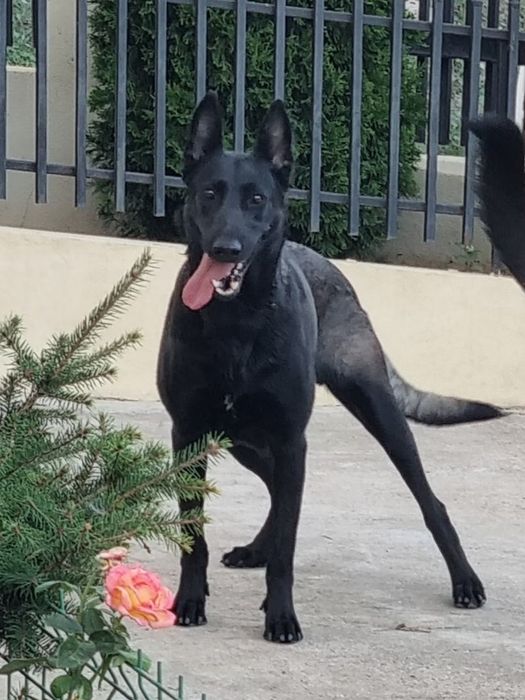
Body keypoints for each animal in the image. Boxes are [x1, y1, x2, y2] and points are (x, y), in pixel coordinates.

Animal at [157, 93, 503, 643]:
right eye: (209, 194)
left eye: (256, 200)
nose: (225, 250)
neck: (238, 321)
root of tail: (328, 265)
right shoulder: (190, 435)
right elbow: (196, 536)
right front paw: (190, 600)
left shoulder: (289, 439)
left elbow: (288, 547)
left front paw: (281, 616)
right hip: (243, 441)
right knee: (276, 492)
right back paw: (255, 548)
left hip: (378, 414)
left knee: (430, 503)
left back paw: (464, 580)